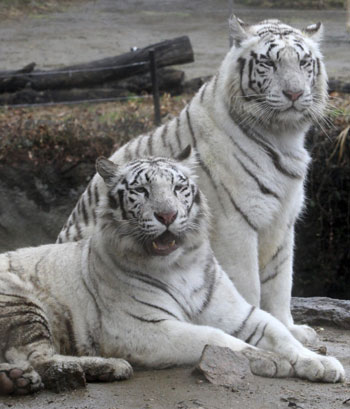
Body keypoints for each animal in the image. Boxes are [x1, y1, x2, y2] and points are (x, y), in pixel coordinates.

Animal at [0, 151, 344, 396]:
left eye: (179, 188)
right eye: (141, 190)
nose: (167, 215)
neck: (180, 264)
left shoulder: (240, 313)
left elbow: (279, 332)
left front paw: (321, 363)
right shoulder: (143, 327)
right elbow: (213, 337)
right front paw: (269, 360)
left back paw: (19, 380)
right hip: (21, 302)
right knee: (36, 357)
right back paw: (108, 366)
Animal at [56, 17, 328, 346]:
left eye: (303, 62)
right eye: (269, 63)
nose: (294, 94)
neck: (282, 136)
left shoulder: (282, 222)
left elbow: (280, 281)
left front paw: (291, 329)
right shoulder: (235, 224)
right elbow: (248, 285)